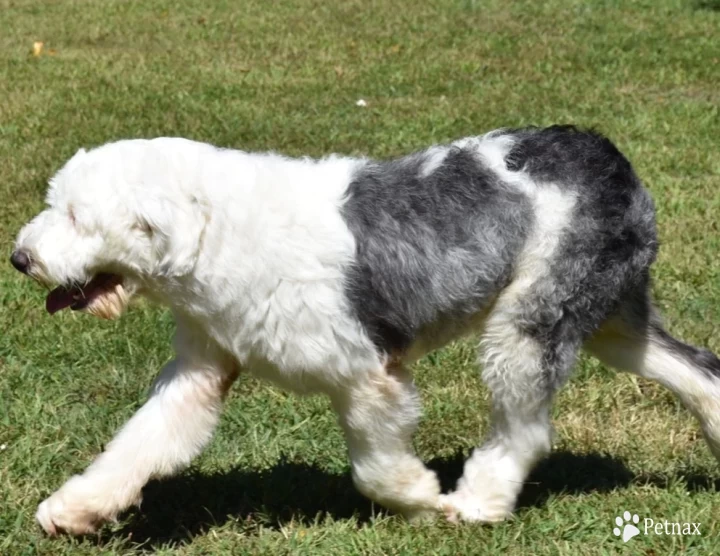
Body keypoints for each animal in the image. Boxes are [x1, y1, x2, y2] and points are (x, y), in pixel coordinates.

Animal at [11, 126, 720, 536]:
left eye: (76, 216)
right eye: (57, 204)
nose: (20, 258)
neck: (215, 233)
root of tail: (602, 151)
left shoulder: (366, 376)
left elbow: (375, 469)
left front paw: (422, 501)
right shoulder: (200, 368)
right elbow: (141, 441)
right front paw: (72, 510)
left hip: (532, 319)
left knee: (525, 429)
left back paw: (477, 504)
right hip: (609, 315)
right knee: (695, 365)